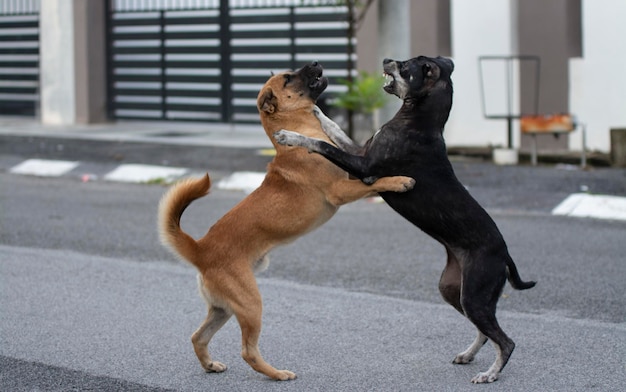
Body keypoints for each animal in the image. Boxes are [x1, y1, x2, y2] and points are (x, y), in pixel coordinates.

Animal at [156, 62, 414, 380]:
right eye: (289, 78)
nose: (314, 63)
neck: (299, 130)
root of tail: (200, 249)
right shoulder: (342, 190)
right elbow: (376, 182)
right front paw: (399, 181)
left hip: (224, 308)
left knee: (198, 337)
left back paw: (211, 364)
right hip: (251, 304)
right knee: (248, 351)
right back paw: (277, 374)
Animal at [274, 56, 536, 382]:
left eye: (406, 65)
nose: (387, 59)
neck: (420, 121)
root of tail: (505, 254)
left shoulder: (364, 168)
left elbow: (322, 145)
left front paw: (291, 136)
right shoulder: (360, 151)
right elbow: (334, 130)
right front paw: (318, 111)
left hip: (476, 293)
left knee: (506, 341)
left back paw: (491, 373)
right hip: (454, 290)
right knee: (486, 332)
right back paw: (469, 355)